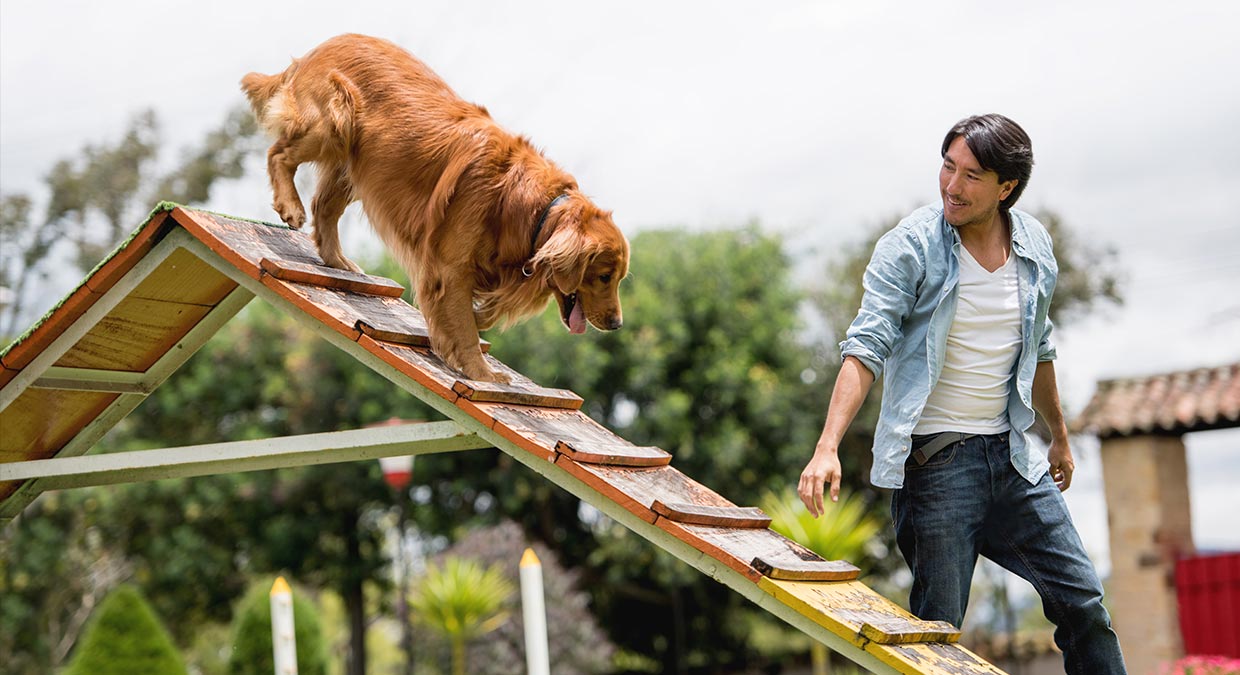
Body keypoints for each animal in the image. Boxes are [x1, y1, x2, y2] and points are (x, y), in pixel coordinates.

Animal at [241, 34, 629, 382]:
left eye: (618, 278)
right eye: (604, 277)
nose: (616, 324)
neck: (532, 209)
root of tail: (321, 46)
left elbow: (480, 314)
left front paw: (481, 325)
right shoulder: (450, 267)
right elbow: (465, 328)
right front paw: (483, 375)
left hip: (357, 161)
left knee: (324, 207)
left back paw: (339, 262)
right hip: (334, 124)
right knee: (279, 155)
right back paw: (290, 206)